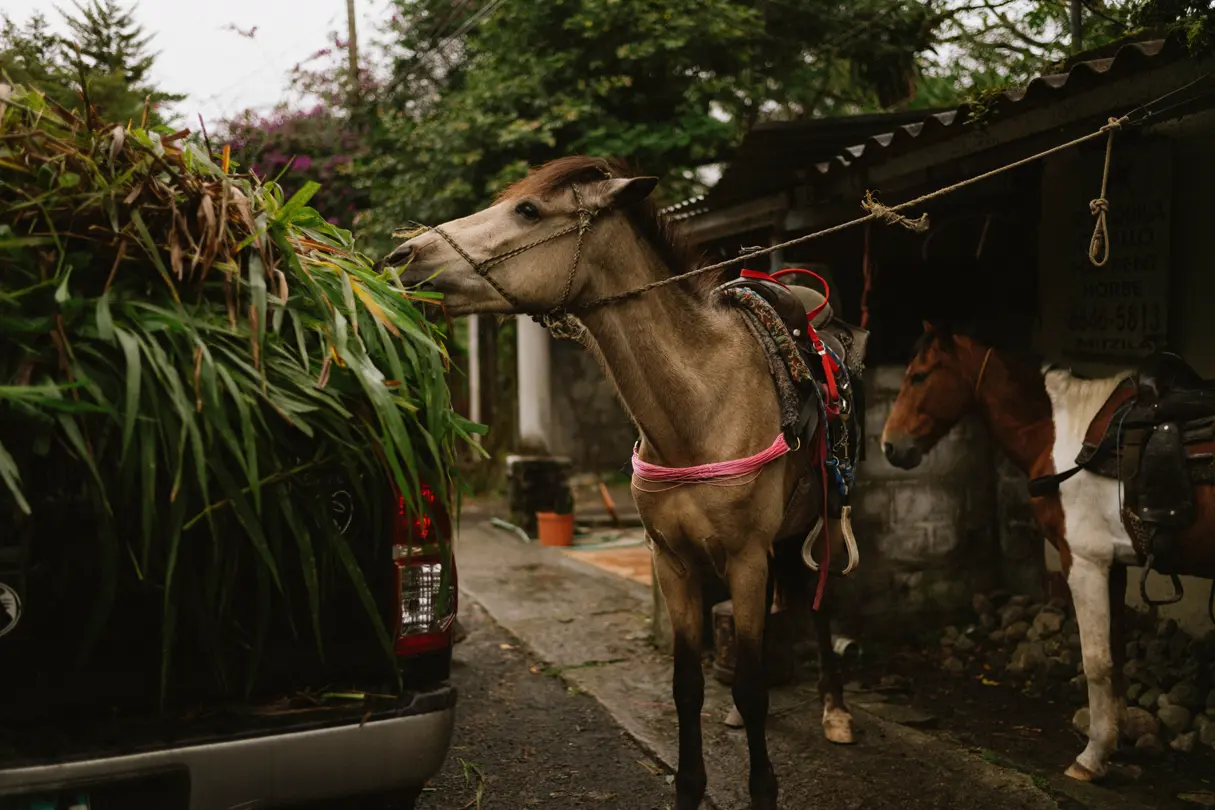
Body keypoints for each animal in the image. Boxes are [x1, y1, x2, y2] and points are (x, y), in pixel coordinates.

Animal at [383, 156, 865, 809]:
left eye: (527, 210)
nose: (403, 255)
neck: (700, 408)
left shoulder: (744, 556)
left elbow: (754, 688)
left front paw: (763, 788)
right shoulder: (673, 560)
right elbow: (688, 687)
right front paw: (689, 787)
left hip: (825, 515)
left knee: (821, 605)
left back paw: (835, 709)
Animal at [880, 321, 1215, 781]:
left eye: (919, 376)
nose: (889, 446)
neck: (1063, 436)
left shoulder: (1084, 563)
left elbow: (1096, 662)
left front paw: (1092, 757)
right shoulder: (1113, 566)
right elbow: (1115, 654)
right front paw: (1116, 738)